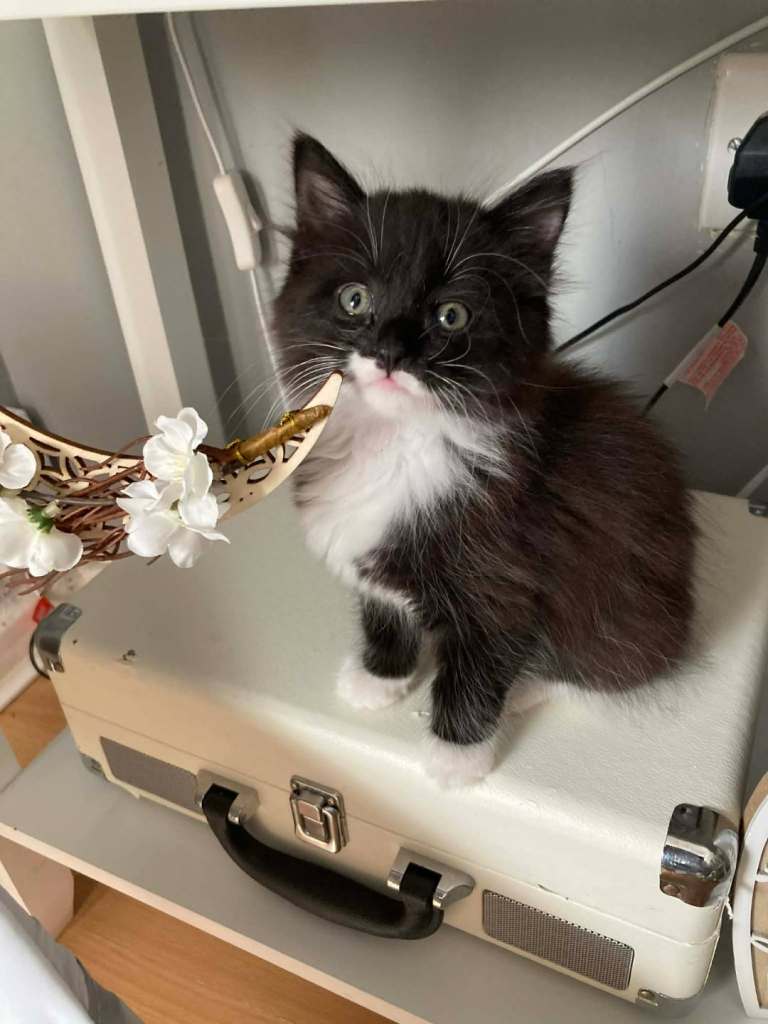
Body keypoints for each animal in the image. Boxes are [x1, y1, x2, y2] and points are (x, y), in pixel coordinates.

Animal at [274, 133, 695, 788]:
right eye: (354, 299)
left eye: (451, 315)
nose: (390, 352)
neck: (394, 442)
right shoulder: (374, 560)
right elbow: (383, 608)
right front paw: (379, 678)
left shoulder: (504, 580)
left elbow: (480, 661)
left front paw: (455, 757)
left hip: (631, 609)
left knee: (608, 664)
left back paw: (526, 687)